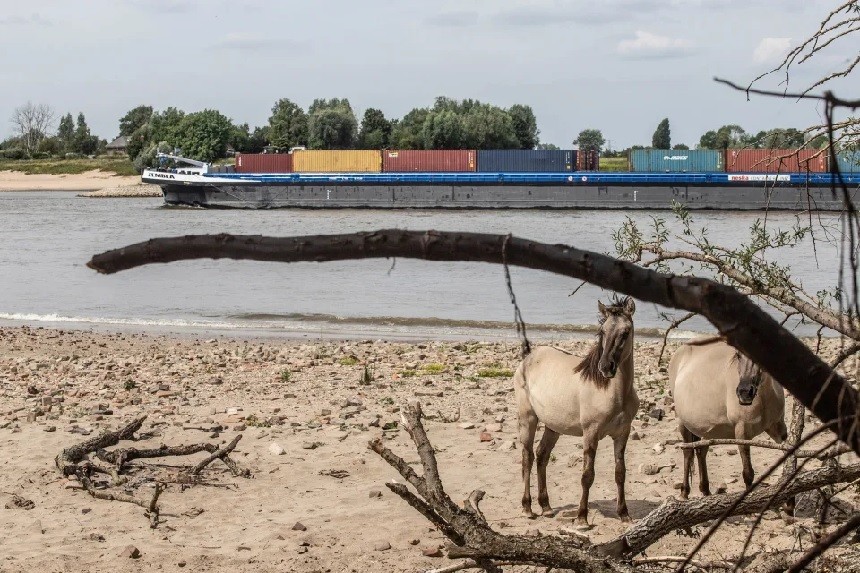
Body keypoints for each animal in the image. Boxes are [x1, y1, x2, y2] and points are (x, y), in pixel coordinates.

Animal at [510, 298, 640, 524]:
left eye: (626, 332)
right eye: (603, 331)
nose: (606, 367)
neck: (613, 392)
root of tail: (528, 358)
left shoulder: (622, 434)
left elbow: (620, 473)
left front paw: (624, 514)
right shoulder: (591, 433)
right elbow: (587, 475)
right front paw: (581, 518)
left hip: (553, 426)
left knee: (542, 455)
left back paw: (546, 507)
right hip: (528, 419)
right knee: (528, 457)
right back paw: (528, 508)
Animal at [668, 338, 788, 498]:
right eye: (738, 354)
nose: (744, 392)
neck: (763, 397)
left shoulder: (778, 428)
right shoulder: (742, 432)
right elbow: (748, 473)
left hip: (704, 429)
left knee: (701, 451)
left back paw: (705, 490)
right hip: (683, 423)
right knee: (688, 452)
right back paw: (684, 492)